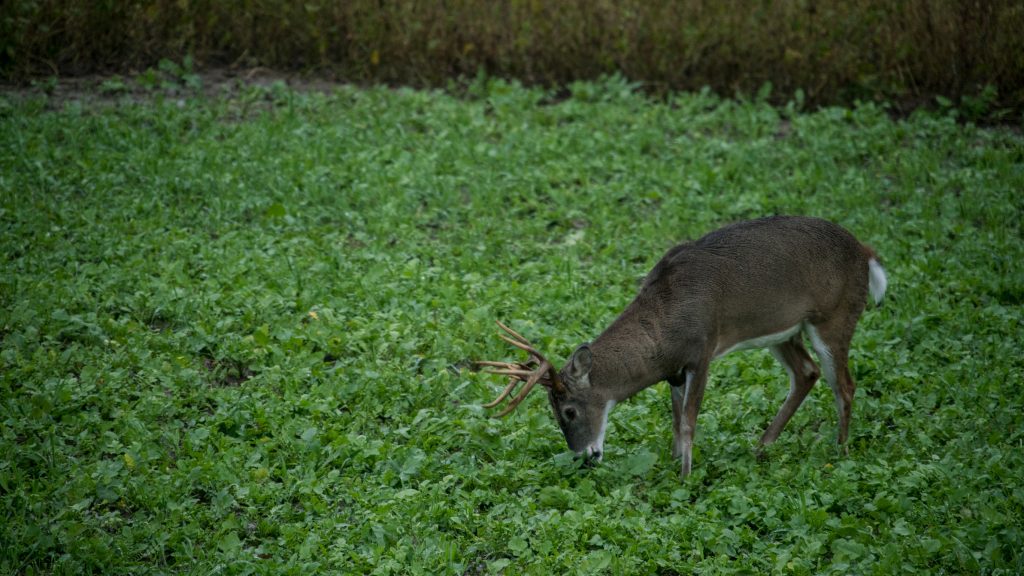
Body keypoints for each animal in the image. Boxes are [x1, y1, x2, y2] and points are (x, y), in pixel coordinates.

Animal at [479, 215, 888, 475]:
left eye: (568, 411)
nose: (585, 457)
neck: (665, 327)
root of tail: (866, 252)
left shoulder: (702, 350)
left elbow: (690, 421)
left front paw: (686, 476)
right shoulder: (673, 371)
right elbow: (675, 421)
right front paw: (675, 463)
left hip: (834, 315)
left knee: (845, 384)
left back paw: (840, 451)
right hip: (784, 329)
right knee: (807, 373)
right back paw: (761, 447)